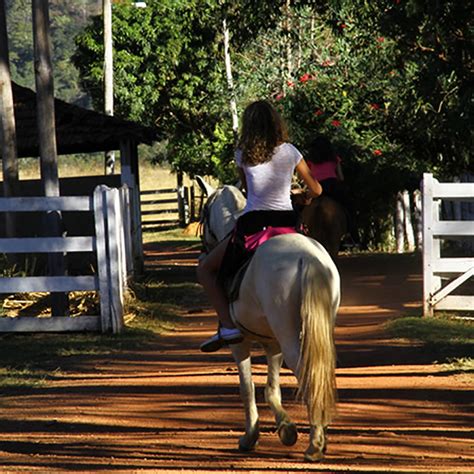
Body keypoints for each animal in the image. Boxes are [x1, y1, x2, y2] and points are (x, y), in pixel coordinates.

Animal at [198, 181, 338, 460]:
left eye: (204, 212)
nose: (202, 247)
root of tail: (307, 258)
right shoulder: (272, 343)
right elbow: (271, 389)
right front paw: (286, 429)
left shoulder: (239, 343)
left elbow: (247, 388)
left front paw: (250, 437)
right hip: (314, 328)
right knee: (322, 371)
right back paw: (322, 433)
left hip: (288, 335)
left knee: (307, 373)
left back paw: (315, 443)